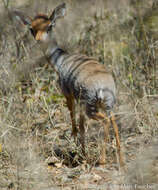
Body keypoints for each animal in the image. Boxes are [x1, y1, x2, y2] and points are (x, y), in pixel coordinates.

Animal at [14, 2, 123, 166]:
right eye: (32, 29)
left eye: (49, 26)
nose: (39, 39)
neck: (60, 60)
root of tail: (103, 87)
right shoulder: (79, 102)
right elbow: (82, 126)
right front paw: (83, 153)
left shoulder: (67, 94)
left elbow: (74, 120)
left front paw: (78, 149)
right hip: (107, 105)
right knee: (114, 122)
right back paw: (121, 160)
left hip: (91, 106)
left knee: (105, 121)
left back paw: (102, 160)